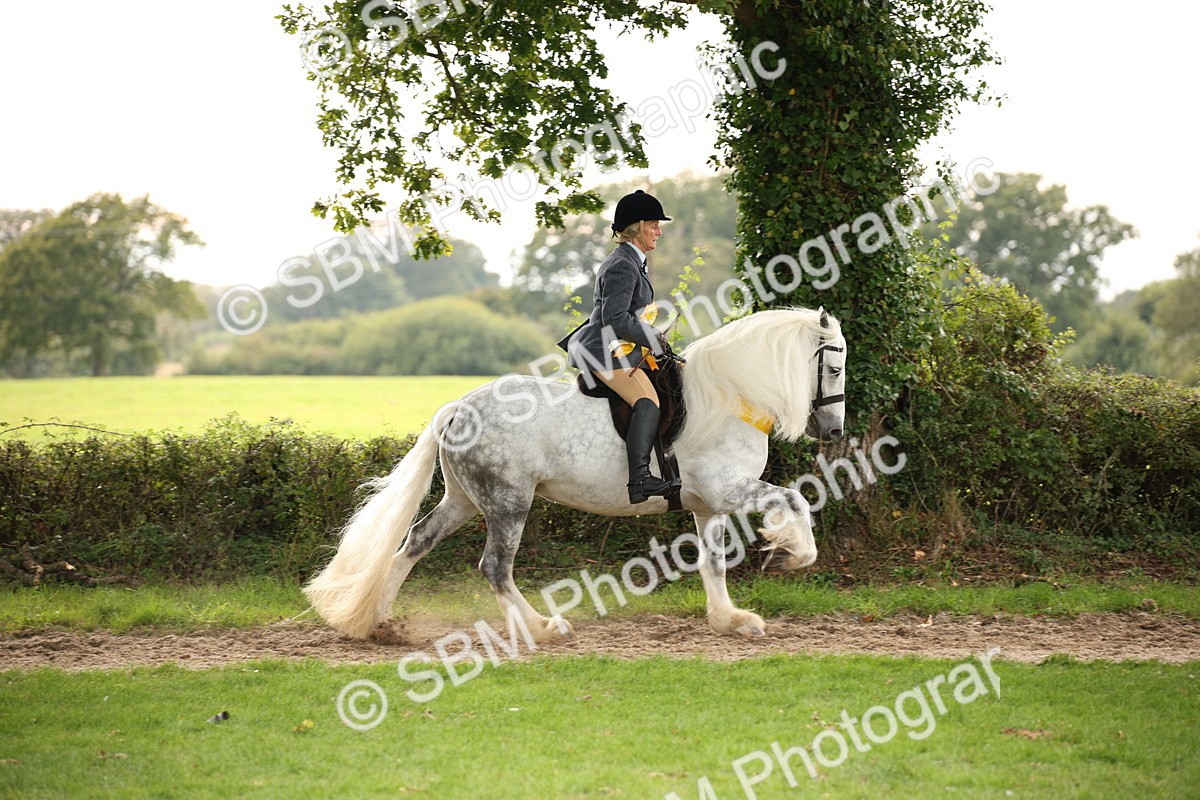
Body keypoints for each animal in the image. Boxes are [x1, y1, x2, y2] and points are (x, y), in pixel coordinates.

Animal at [304, 306, 847, 641]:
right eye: (836, 368)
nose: (834, 431)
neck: (730, 397)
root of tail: (459, 407)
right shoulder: (729, 490)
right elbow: (795, 499)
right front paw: (791, 555)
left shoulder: (707, 505)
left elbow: (712, 563)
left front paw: (730, 620)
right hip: (508, 502)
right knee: (494, 567)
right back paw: (544, 628)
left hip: (463, 500)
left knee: (413, 544)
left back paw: (382, 626)